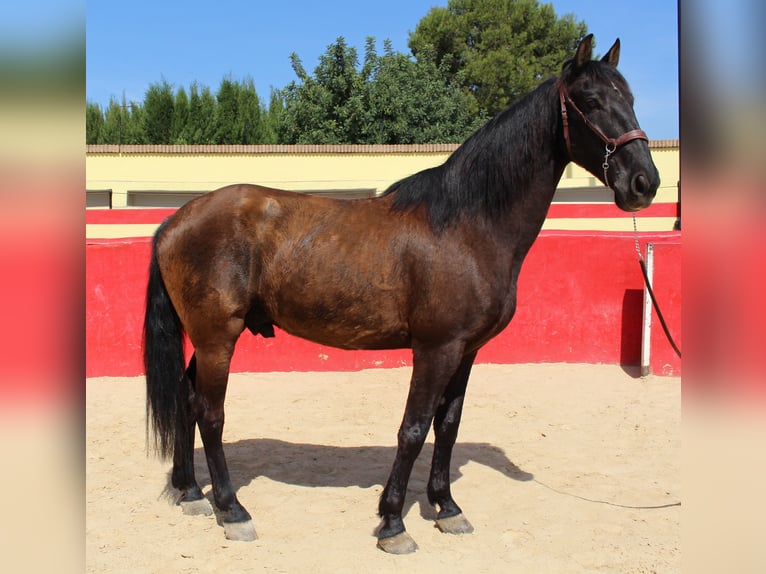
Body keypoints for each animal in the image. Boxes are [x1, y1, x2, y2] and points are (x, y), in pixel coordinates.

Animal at [143, 34, 659, 553]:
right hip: (217, 338)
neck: (467, 225)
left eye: (632, 99)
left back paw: (191, 492)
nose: (644, 182)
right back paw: (232, 510)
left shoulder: (466, 351)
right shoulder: (435, 348)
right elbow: (413, 428)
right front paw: (393, 522)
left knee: (187, 398)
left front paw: (447, 507)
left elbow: (447, 426)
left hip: (208, 339)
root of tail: (175, 220)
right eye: (590, 101)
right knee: (210, 413)